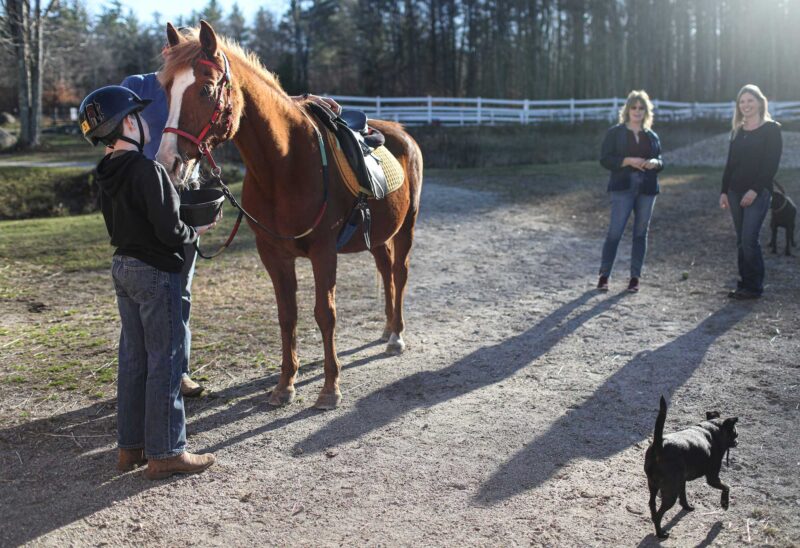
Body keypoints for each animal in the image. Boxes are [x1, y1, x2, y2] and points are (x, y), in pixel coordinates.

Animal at [157, 21, 428, 408]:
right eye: (165, 90)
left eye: (206, 89)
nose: (168, 162)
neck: (284, 162)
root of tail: (401, 131)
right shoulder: (273, 254)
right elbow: (288, 315)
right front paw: (285, 383)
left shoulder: (323, 251)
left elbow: (325, 314)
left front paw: (330, 388)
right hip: (378, 236)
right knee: (386, 272)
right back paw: (388, 328)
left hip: (407, 226)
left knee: (400, 274)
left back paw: (397, 336)